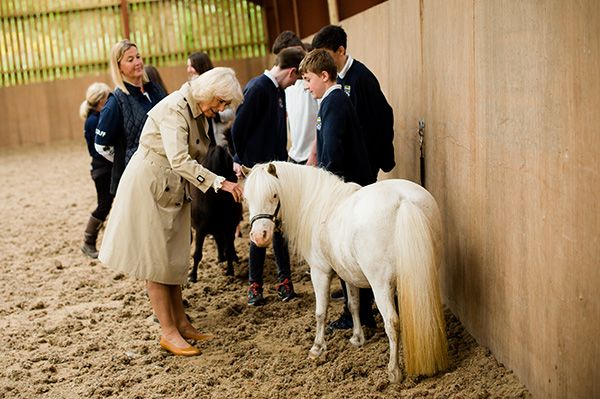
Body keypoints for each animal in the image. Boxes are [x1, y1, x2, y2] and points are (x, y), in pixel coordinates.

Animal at [243, 162, 446, 384]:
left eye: (274, 195)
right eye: (247, 198)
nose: (259, 237)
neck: (321, 208)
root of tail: (403, 201)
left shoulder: (320, 272)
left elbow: (321, 312)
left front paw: (317, 348)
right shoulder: (348, 273)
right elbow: (353, 304)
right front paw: (357, 338)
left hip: (381, 285)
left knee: (392, 322)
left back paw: (394, 371)